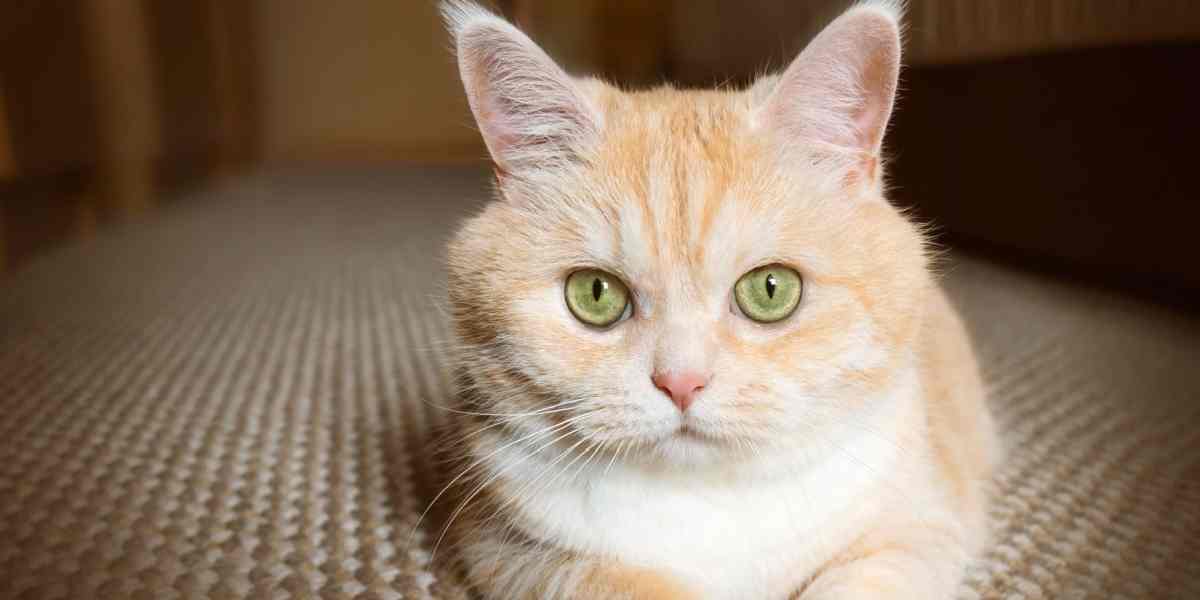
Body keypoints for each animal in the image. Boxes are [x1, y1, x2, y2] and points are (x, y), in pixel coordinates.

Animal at [436, 2, 998, 597]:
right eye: (595, 293)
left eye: (771, 289)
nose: (681, 382)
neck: (707, 506)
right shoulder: (513, 551)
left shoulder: (919, 526)